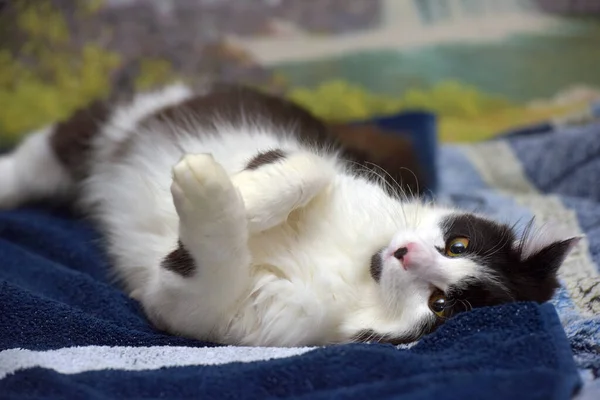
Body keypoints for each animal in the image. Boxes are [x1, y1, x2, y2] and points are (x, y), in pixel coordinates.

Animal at [0, 82, 580, 346]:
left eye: (441, 306)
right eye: (458, 244)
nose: (406, 253)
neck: (354, 267)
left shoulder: (205, 315)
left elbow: (204, 276)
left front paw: (209, 198)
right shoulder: (320, 166)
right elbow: (306, 167)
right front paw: (238, 191)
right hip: (120, 120)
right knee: (39, 155)